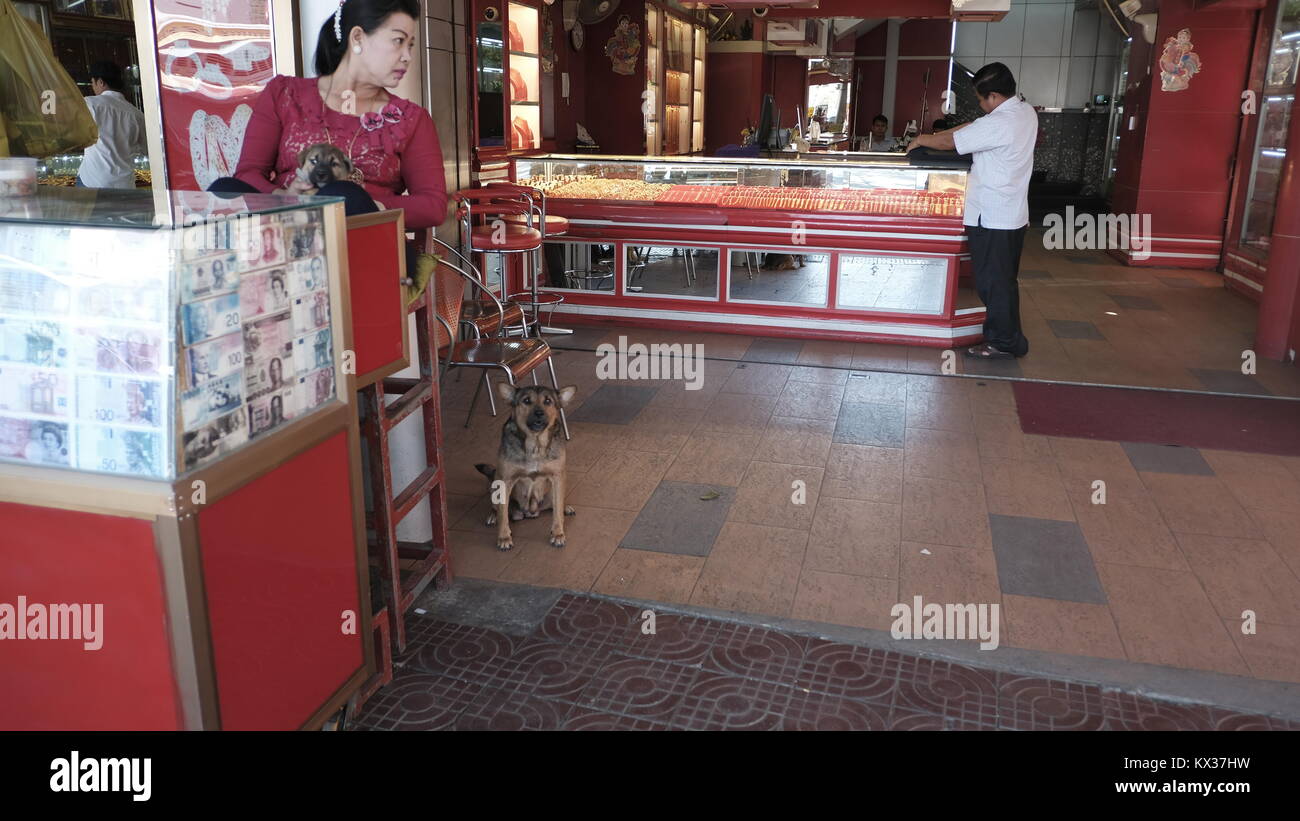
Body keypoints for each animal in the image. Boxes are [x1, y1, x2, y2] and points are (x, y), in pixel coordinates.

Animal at [475, 384, 577, 550]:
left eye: (548, 401)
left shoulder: (557, 477)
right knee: (498, 508)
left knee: (556, 504)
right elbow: (503, 515)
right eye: (527, 400)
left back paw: (565, 508)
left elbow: (557, 513)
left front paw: (558, 534)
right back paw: (492, 516)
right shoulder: (505, 479)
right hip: (495, 481)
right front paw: (504, 537)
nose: (539, 413)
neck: (535, 444)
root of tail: (531, 512)